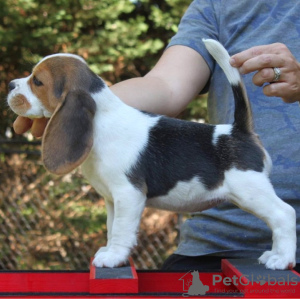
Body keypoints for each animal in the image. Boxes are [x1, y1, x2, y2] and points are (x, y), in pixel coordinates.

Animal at [7, 38, 296, 270]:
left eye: (37, 81)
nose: (9, 84)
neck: (100, 122)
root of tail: (239, 131)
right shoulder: (112, 199)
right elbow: (111, 227)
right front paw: (109, 250)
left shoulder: (129, 194)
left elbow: (121, 230)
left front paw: (113, 258)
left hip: (251, 191)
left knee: (284, 214)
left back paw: (281, 259)